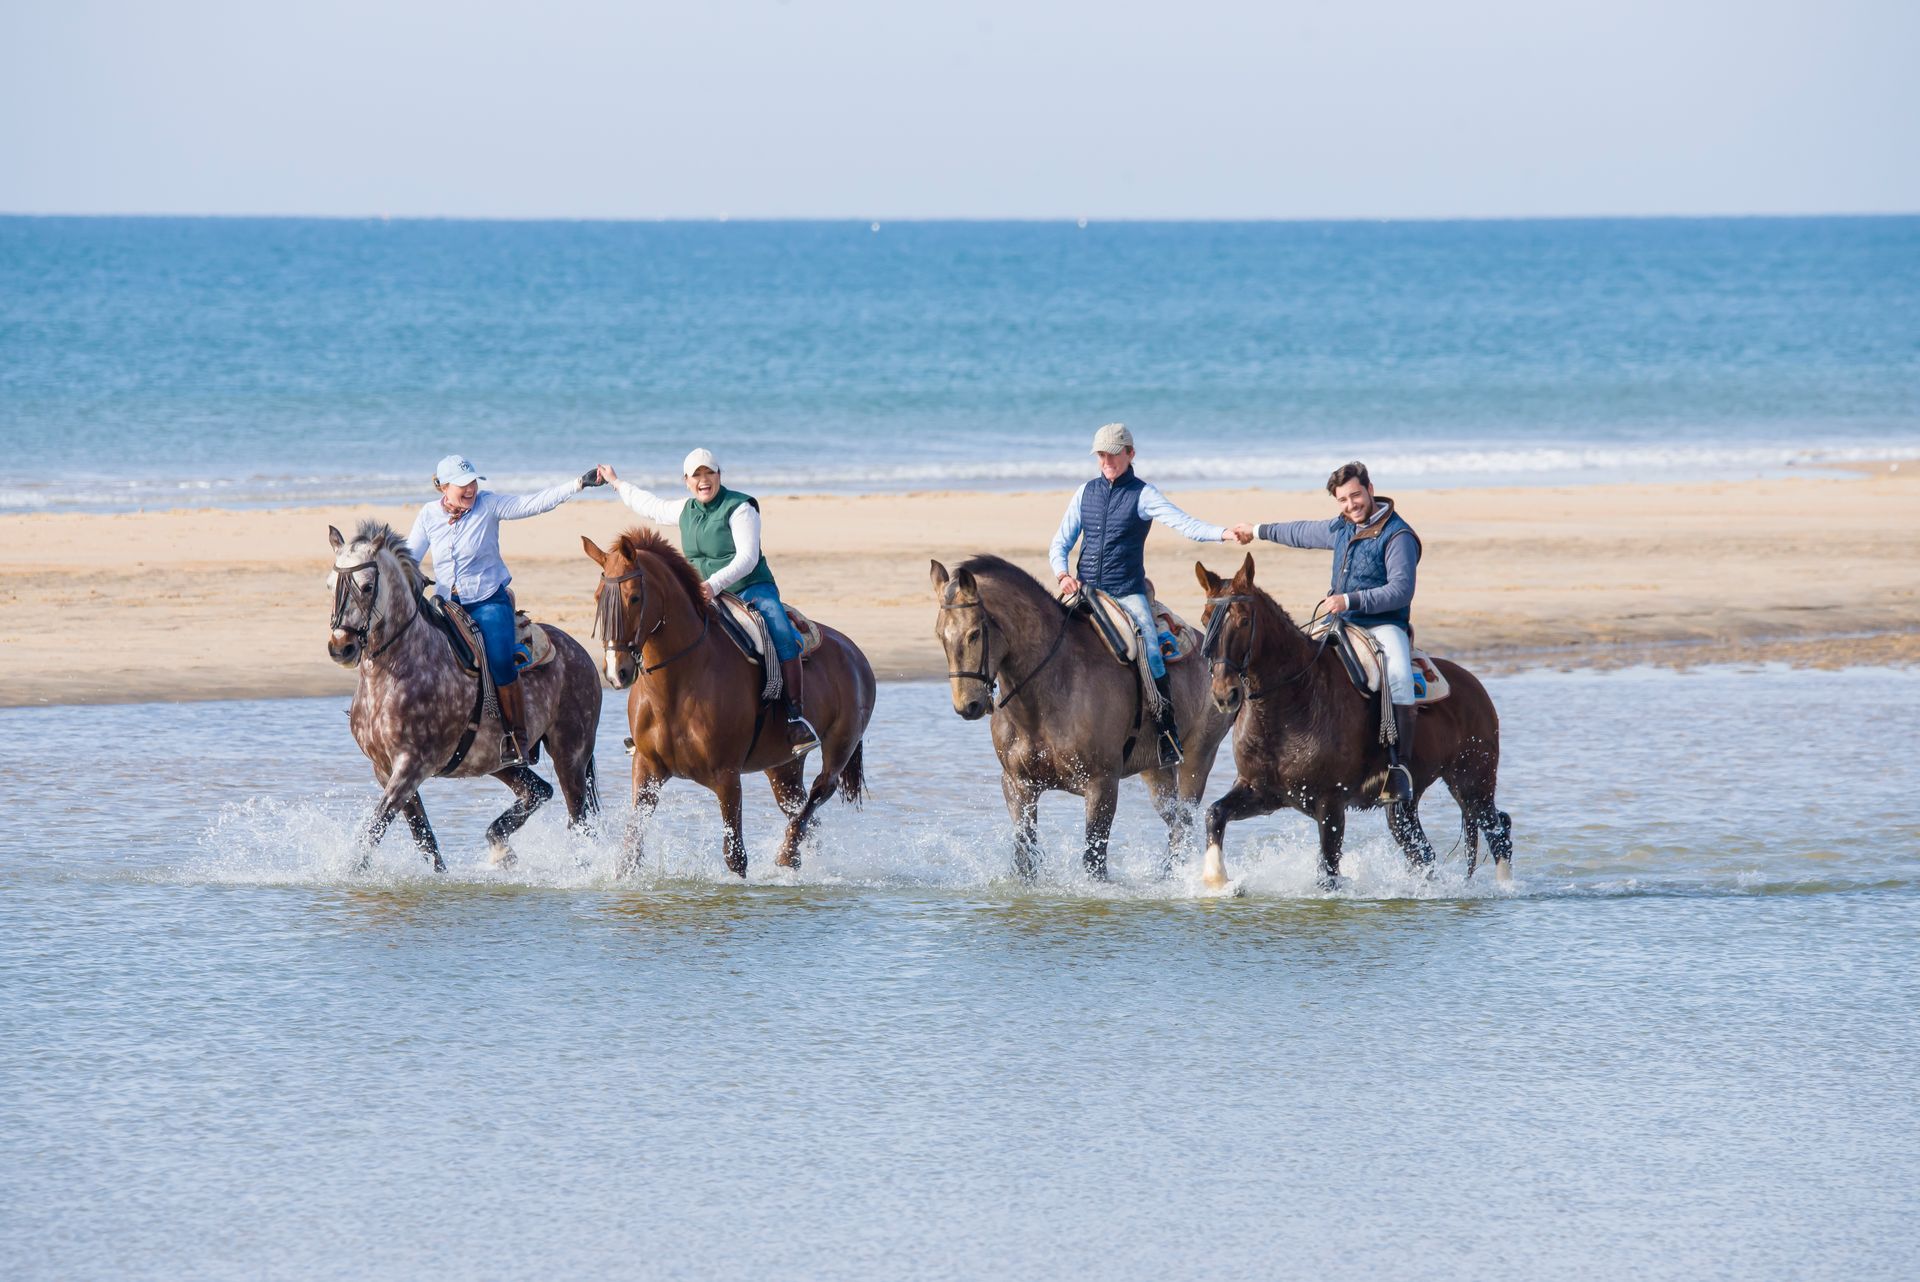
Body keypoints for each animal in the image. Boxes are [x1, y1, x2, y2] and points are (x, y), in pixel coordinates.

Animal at [326, 520, 604, 871]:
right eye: (329, 585)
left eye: (366, 586)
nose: (341, 648)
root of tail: (579, 652)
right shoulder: (384, 769)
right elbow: (425, 840)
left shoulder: (411, 766)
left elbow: (374, 829)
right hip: (500, 760)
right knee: (539, 791)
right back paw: (500, 846)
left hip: (571, 754)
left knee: (579, 820)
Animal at [583, 528, 877, 877]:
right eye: (598, 597)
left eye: (634, 598)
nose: (617, 672)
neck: (677, 686)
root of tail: (854, 652)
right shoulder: (647, 768)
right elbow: (630, 850)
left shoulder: (726, 777)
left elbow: (735, 858)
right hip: (783, 768)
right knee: (801, 810)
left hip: (839, 748)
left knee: (819, 792)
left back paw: (787, 855)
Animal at [930, 555, 1235, 881]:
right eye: (940, 635)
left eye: (974, 633)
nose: (968, 705)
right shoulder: (1018, 786)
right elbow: (1025, 858)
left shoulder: (1102, 785)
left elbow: (1094, 861)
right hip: (1156, 771)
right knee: (1174, 820)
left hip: (1198, 758)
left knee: (1184, 822)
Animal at [1194, 554, 1513, 890]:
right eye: (1204, 619)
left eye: (1243, 620)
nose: (1224, 694)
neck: (1290, 702)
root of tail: (1474, 686)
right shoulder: (1261, 791)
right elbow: (1214, 813)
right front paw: (1218, 880)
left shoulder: (1330, 804)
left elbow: (1328, 870)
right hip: (1404, 807)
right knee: (1424, 854)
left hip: (1472, 782)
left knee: (1497, 828)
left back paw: (1506, 887)